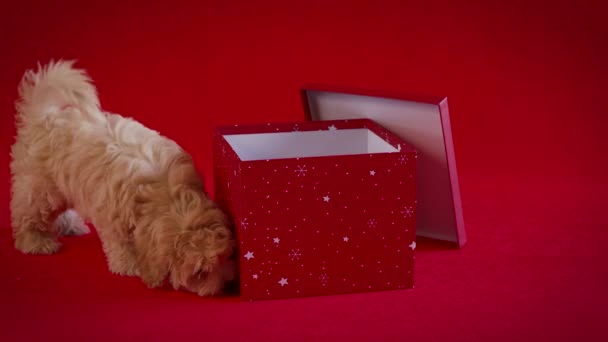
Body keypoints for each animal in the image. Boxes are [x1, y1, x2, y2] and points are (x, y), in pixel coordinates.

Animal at [10, 61, 238, 296]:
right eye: (200, 273)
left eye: (226, 256)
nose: (223, 288)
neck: (164, 191)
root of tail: (46, 116)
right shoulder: (111, 216)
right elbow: (119, 243)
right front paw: (130, 265)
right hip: (40, 186)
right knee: (27, 212)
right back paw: (36, 241)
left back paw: (70, 225)